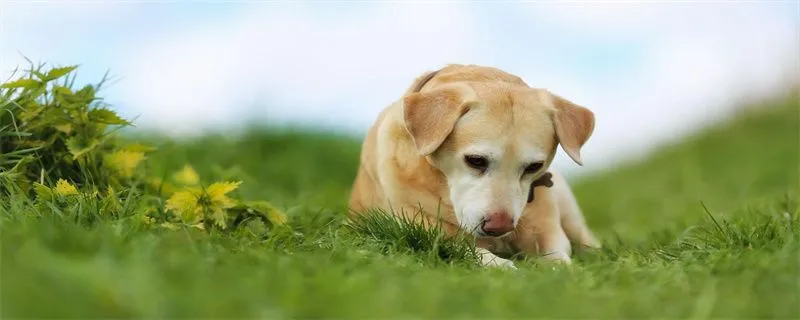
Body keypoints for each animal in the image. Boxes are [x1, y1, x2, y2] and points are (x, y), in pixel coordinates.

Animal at [348, 63, 600, 268]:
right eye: (475, 160)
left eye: (533, 167)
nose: (499, 227)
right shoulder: (418, 227)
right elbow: (465, 247)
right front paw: (500, 264)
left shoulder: (548, 232)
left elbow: (559, 260)